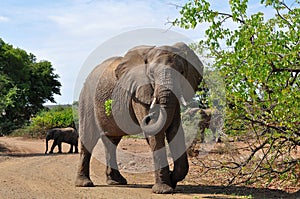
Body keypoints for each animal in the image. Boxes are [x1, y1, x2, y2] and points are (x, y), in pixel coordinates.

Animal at [75, 42, 203, 194]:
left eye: (182, 73)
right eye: (151, 75)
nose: (147, 118)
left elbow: (175, 130)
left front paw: (172, 180)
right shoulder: (138, 93)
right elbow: (156, 132)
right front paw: (164, 190)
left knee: (112, 141)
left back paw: (117, 182)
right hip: (86, 99)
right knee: (88, 137)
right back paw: (84, 184)